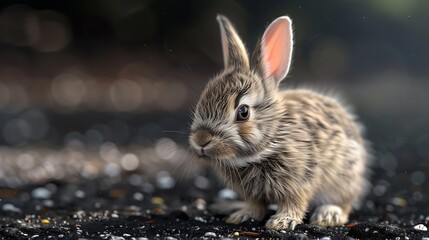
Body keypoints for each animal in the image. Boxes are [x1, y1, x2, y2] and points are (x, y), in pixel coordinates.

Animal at [189, 14, 370, 231]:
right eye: (202, 99)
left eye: (243, 112)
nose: (201, 140)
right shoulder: (253, 194)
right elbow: (255, 205)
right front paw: (241, 215)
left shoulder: (300, 181)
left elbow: (295, 203)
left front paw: (281, 222)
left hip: (344, 177)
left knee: (344, 203)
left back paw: (328, 215)